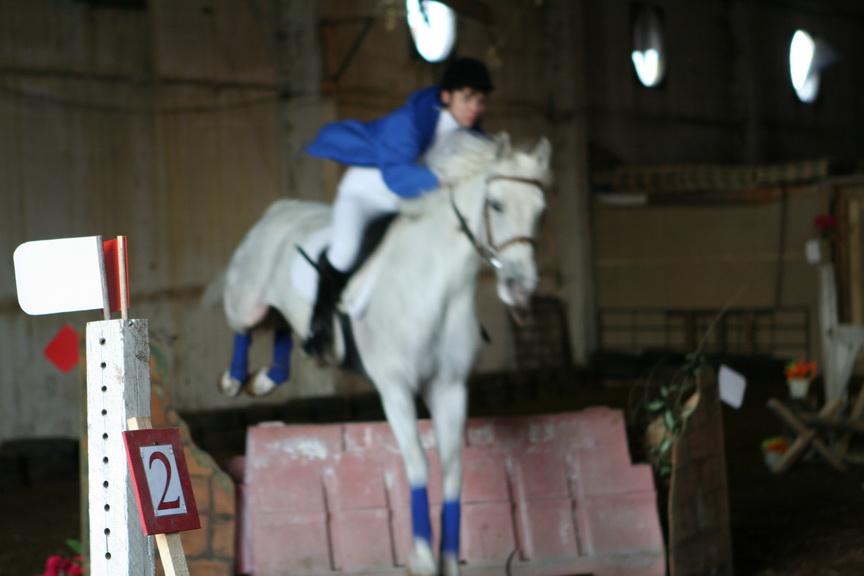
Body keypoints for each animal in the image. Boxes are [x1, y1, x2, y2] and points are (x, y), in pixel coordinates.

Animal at [217, 130, 551, 575]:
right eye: (495, 204)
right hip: (248, 297)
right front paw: (423, 557)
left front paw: (448, 557)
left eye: (541, 212)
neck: (437, 287)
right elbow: (418, 465)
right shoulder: (395, 388)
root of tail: (280, 209)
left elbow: (452, 471)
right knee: (244, 325)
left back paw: (270, 376)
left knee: (286, 328)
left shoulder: (450, 389)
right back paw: (235, 379)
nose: (519, 287)